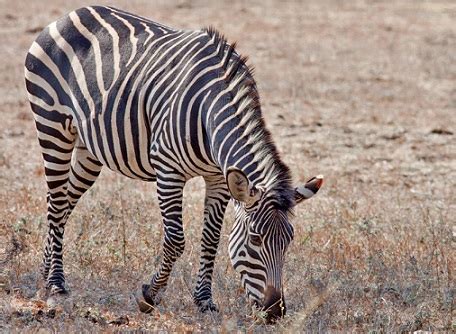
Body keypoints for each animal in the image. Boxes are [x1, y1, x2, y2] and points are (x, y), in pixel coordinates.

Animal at [25, 5, 324, 320]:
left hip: (89, 148)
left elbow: (211, 239)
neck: (209, 114)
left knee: (62, 202)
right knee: (57, 202)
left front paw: (204, 300)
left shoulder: (219, 178)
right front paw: (149, 296)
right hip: (52, 125)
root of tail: (73, 13)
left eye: (289, 240)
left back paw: (46, 272)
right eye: (255, 239)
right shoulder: (168, 171)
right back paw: (56, 282)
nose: (276, 311)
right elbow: (176, 240)